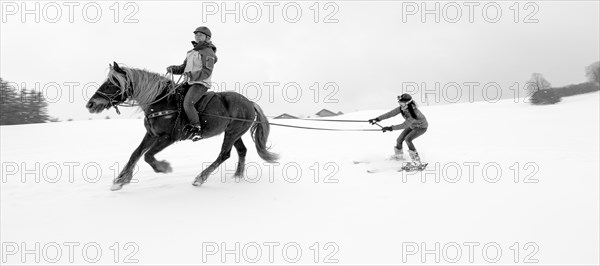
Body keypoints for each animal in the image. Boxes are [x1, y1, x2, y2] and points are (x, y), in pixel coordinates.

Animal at [86, 61, 278, 191]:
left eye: (111, 84)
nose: (90, 104)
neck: (161, 101)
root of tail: (250, 103)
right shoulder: (152, 134)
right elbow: (135, 154)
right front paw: (120, 181)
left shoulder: (169, 137)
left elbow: (148, 156)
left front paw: (164, 167)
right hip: (234, 132)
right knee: (241, 151)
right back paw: (237, 176)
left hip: (232, 132)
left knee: (224, 154)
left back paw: (200, 178)